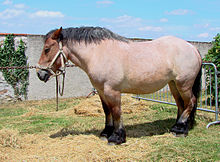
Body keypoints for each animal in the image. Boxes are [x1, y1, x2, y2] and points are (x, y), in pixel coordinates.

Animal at [37, 26, 202, 144]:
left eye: (47, 49)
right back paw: (177, 127)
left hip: (184, 84)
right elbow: (107, 111)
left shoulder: (112, 91)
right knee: (181, 104)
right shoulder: (101, 91)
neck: (98, 54)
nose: (40, 74)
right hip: (173, 84)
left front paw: (117, 137)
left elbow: (116, 112)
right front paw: (106, 132)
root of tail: (192, 48)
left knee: (190, 102)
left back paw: (180, 130)